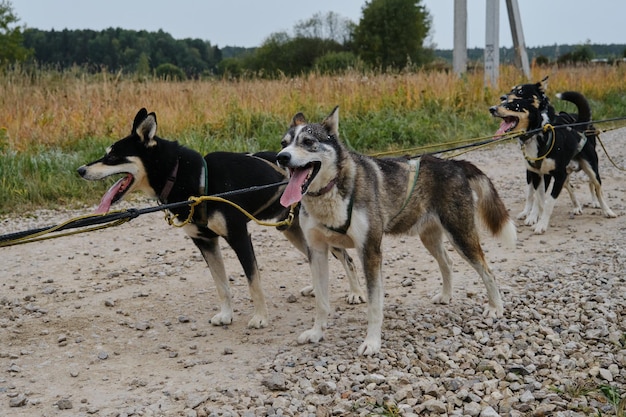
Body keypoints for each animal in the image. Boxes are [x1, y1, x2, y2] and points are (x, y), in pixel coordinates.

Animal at [76, 108, 364, 328]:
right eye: (106, 153)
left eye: (113, 156)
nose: (80, 170)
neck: (192, 179)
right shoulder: (205, 242)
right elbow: (221, 284)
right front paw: (226, 315)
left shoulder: (239, 236)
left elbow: (253, 282)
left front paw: (260, 317)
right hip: (291, 230)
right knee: (314, 257)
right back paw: (316, 288)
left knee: (346, 259)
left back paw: (356, 293)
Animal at [488, 79, 616, 232]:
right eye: (504, 101)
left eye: (514, 104)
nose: (492, 108)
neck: (537, 135)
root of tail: (578, 126)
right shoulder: (535, 174)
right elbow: (536, 197)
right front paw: (532, 216)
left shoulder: (557, 176)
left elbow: (548, 202)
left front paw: (541, 224)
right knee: (571, 187)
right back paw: (576, 206)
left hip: (591, 169)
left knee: (597, 188)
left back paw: (605, 209)